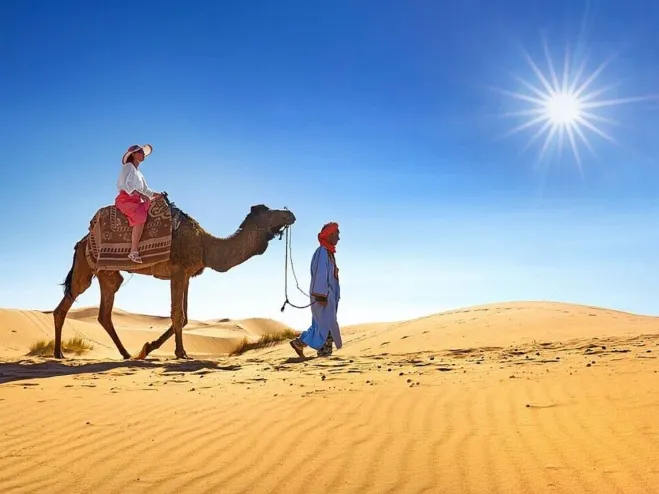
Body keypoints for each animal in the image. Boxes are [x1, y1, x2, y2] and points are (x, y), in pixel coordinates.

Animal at [54, 199, 296, 360]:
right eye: (270, 213)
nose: (291, 214)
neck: (206, 245)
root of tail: (81, 242)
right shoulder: (178, 272)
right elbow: (177, 315)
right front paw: (181, 353)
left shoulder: (187, 275)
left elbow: (185, 317)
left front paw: (147, 348)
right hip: (87, 266)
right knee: (69, 302)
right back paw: (59, 354)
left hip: (108, 274)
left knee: (103, 313)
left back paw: (125, 353)